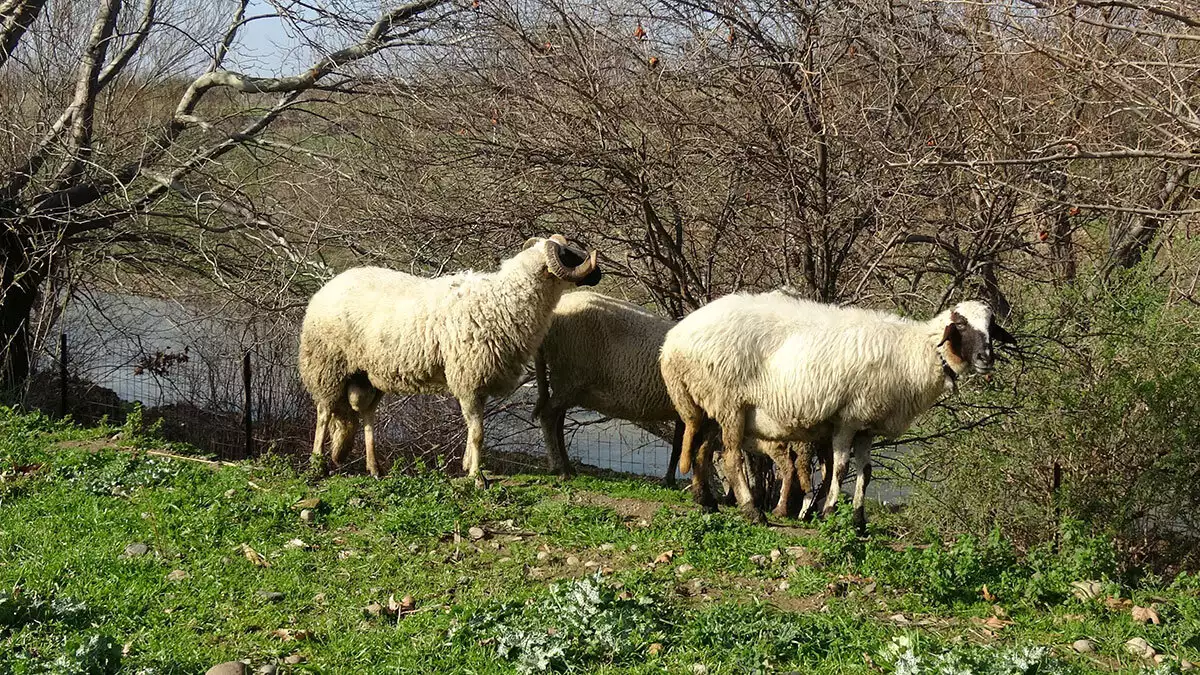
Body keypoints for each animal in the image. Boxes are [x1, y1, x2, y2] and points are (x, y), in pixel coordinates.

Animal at [298, 234, 600, 480]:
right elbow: (477, 432)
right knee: (324, 413)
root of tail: (329, 285)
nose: (597, 273)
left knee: (367, 415)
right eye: (567, 254)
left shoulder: (477, 381)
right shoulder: (469, 376)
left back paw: (374, 468)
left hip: (369, 374)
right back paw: (317, 465)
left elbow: (473, 427)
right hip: (327, 365)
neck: (503, 300)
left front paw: (468, 466)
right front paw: (477, 477)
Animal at [530, 289, 830, 514]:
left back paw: (566, 464)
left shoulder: (686, 413)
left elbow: (680, 447)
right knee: (549, 415)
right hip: (569, 373)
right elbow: (695, 448)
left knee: (556, 418)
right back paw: (560, 468)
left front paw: (674, 481)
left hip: (567, 380)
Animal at [662, 293, 1017, 526]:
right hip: (729, 401)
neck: (918, 352)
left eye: (991, 326)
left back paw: (705, 501)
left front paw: (859, 522)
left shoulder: (867, 425)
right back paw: (752, 512)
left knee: (703, 448)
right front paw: (830, 511)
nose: (986, 358)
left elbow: (866, 472)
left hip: (708, 403)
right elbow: (841, 469)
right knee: (732, 457)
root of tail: (674, 340)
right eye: (960, 326)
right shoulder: (849, 417)